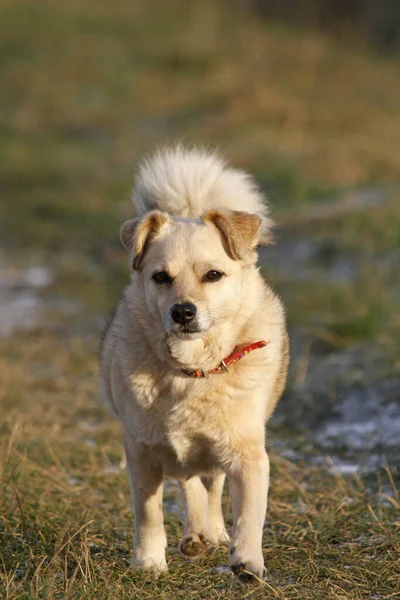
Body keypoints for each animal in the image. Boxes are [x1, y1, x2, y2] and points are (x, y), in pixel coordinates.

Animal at [99, 148, 288, 584]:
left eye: (213, 275)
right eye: (160, 277)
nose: (182, 312)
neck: (192, 373)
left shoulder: (247, 452)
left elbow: (248, 513)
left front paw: (247, 562)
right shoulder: (142, 449)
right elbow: (149, 512)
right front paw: (148, 561)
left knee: (211, 481)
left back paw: (211, 532)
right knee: (191, 482)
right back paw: (197, 533)